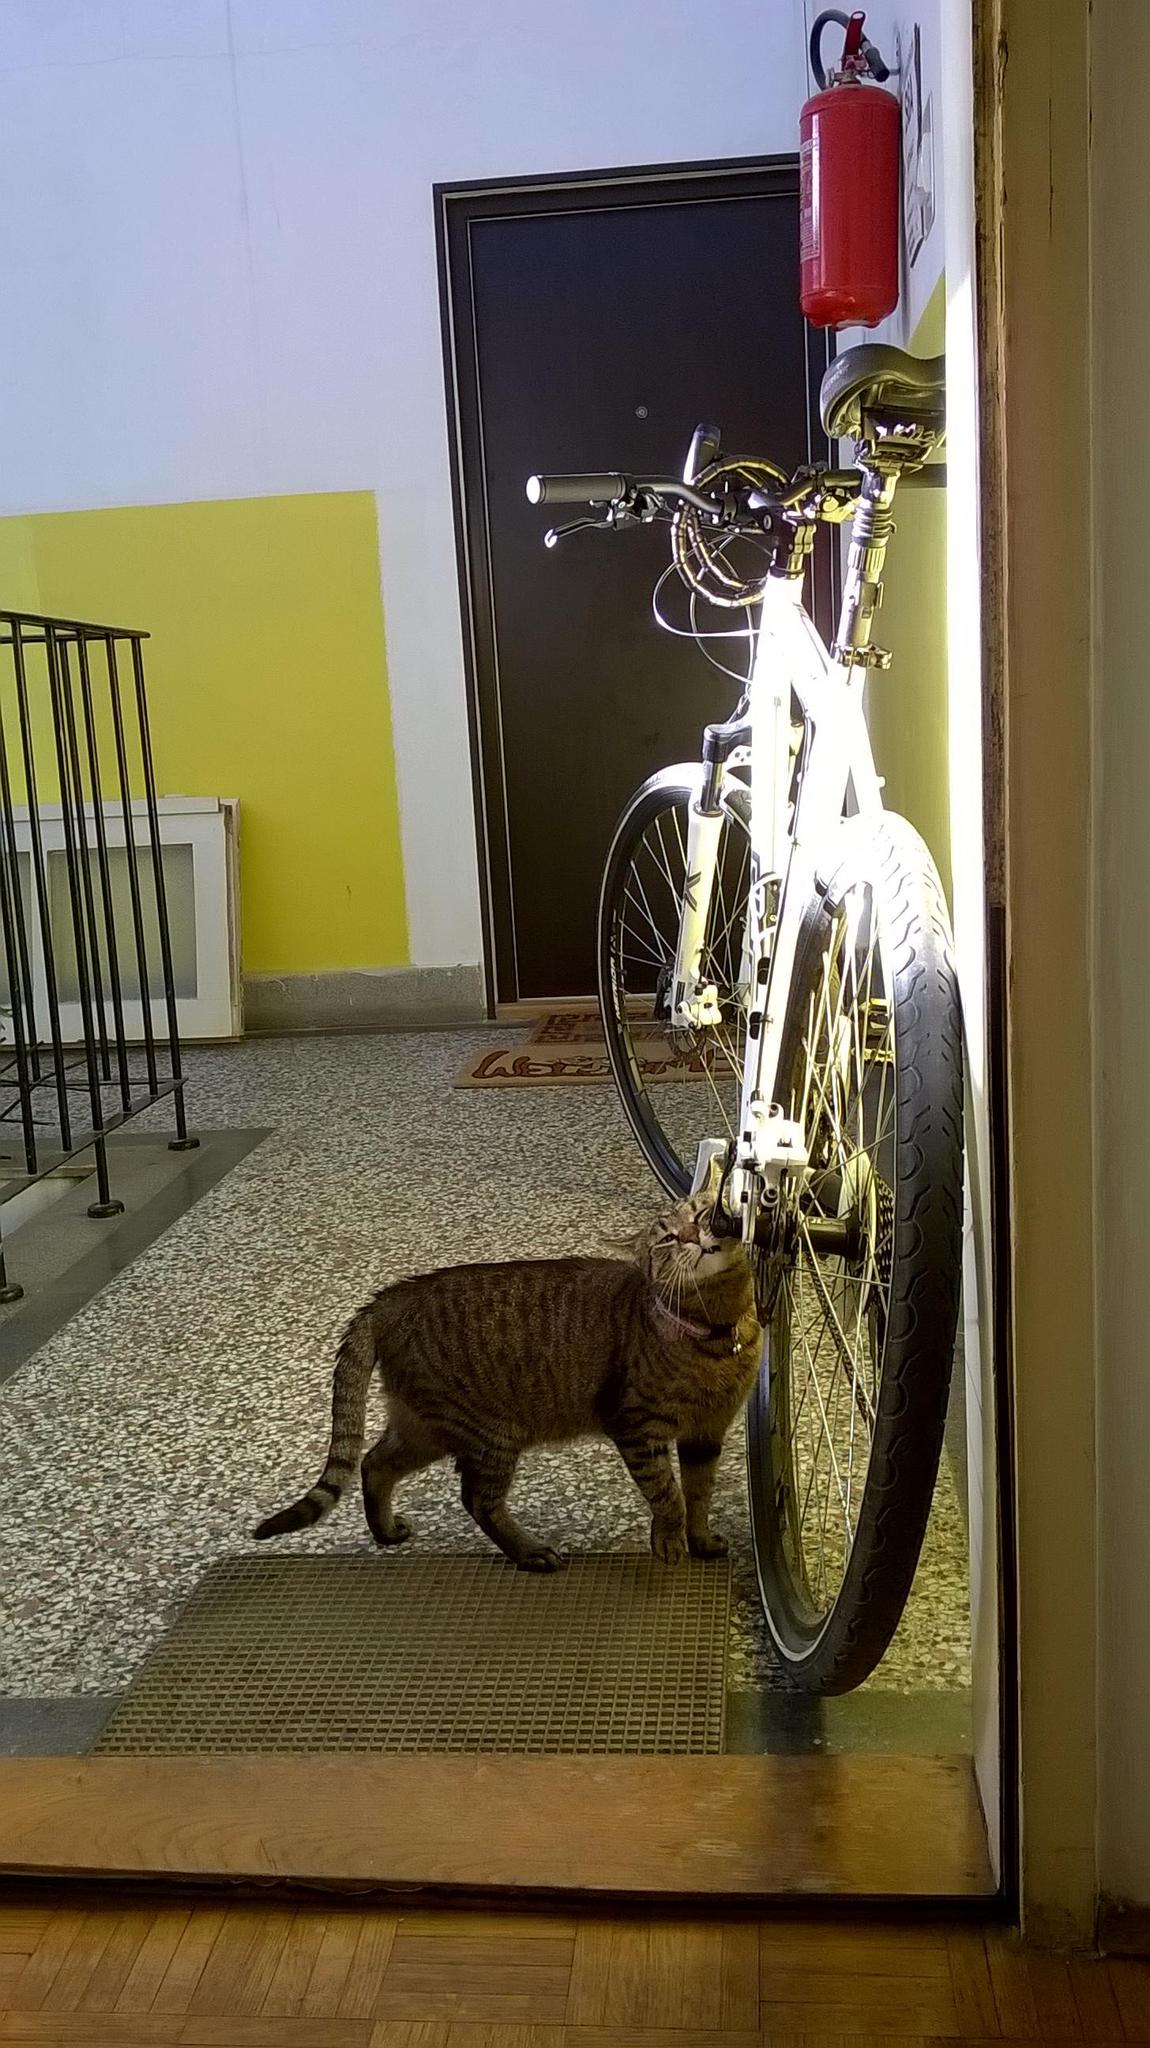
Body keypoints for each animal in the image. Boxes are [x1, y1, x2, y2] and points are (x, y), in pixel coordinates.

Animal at [252, 1189, 761, 1572]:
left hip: (424, 1427)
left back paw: (386, 1531)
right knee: (477, 1499)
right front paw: (671, 1542)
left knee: (374, 1463)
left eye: (701, 1215)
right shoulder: (637, 1428)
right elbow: (667, 1492)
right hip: (488, 1433)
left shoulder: (706, 1433)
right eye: (667, 1239)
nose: (693, 1234)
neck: (718, 1332)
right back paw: (530, 1553)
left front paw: (701, 1540)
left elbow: (699, 1493)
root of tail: (386, 1299)